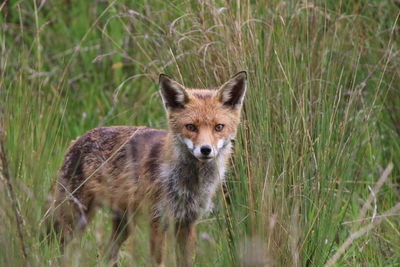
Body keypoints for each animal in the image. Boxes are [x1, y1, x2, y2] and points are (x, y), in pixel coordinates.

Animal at [46, 70, 247, 266]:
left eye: (218, 127)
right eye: (190, 127)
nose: (205, 150)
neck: (188, 185)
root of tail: (78, 139)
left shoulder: (186, 223)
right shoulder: (157, 221)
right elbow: (157, 261)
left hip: (122, 225)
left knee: (107, 254)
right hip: (76, 217)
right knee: (60, 248)